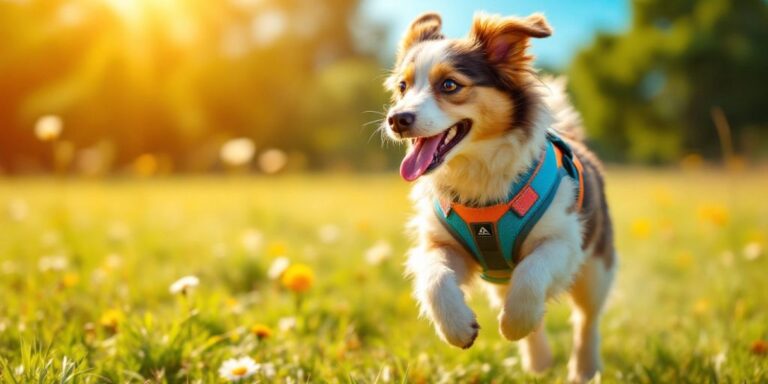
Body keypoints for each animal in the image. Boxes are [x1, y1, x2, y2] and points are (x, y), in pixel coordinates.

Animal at [384, 11, 616, 380]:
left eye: (449, 85)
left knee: (587, 318)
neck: (478, 174)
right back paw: (538, 362)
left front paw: (515, 323)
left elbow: (532, 273)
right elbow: (435, 278)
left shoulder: (565, 241)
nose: (396, 119)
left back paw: (584, 368)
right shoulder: (440, 243)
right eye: (402, 87)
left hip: (597, 265)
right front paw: (458, 328)